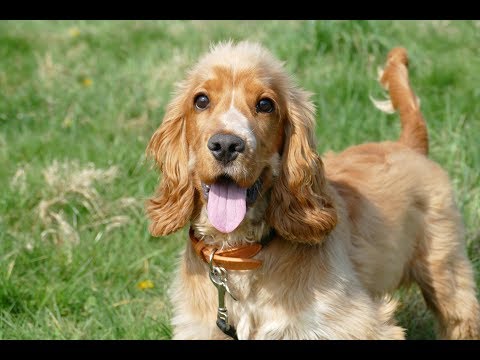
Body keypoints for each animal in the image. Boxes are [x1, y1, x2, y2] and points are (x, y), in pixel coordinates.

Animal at [146, 42, 480, 340]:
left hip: (446, 270)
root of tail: (409, 145)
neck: (243, 253)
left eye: (265, 104)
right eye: (201, 100)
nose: (226, 145)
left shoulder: (358, 325)